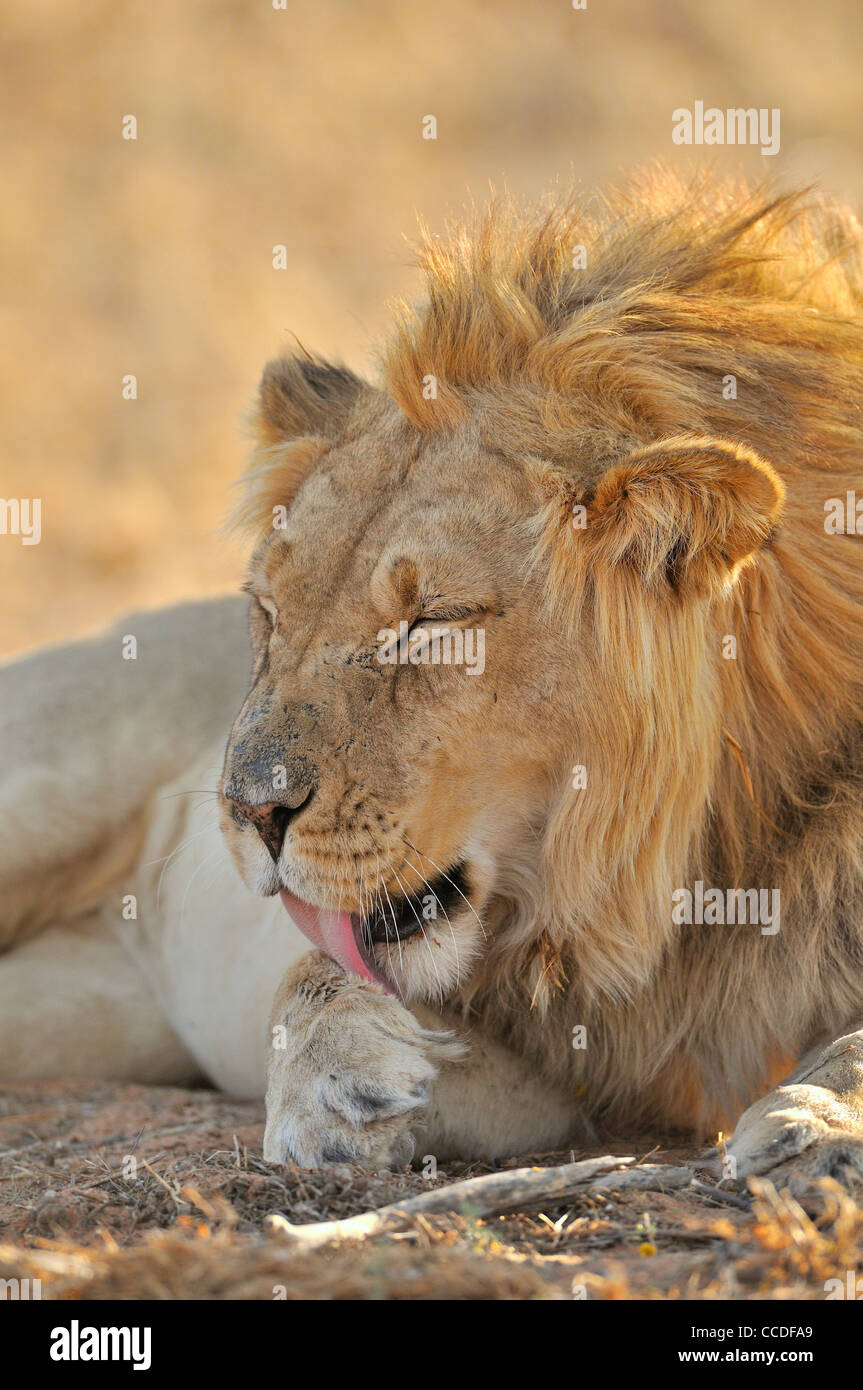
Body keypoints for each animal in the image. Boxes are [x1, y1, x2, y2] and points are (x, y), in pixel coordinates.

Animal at [1, 165, 861, 1184]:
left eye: (430, 625)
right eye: (269, 612)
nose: (248, 811)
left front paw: (818, 1123)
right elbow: (317, 966)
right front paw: (333, 1080)